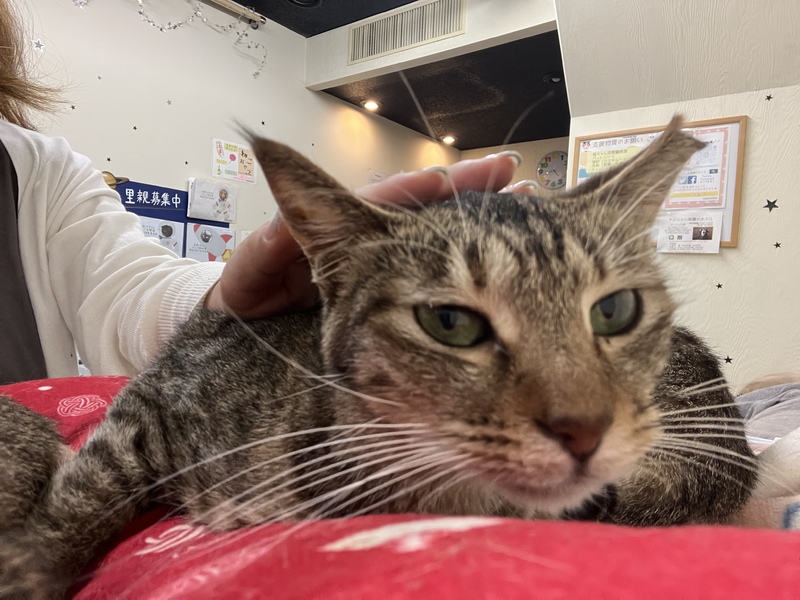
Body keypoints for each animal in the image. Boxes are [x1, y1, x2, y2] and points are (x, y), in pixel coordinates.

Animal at [0, 116, 757, 597]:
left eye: (614, 311)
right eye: (450, 322)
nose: (584, 427)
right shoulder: (154, 399)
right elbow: (88, 486)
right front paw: (33, 564)